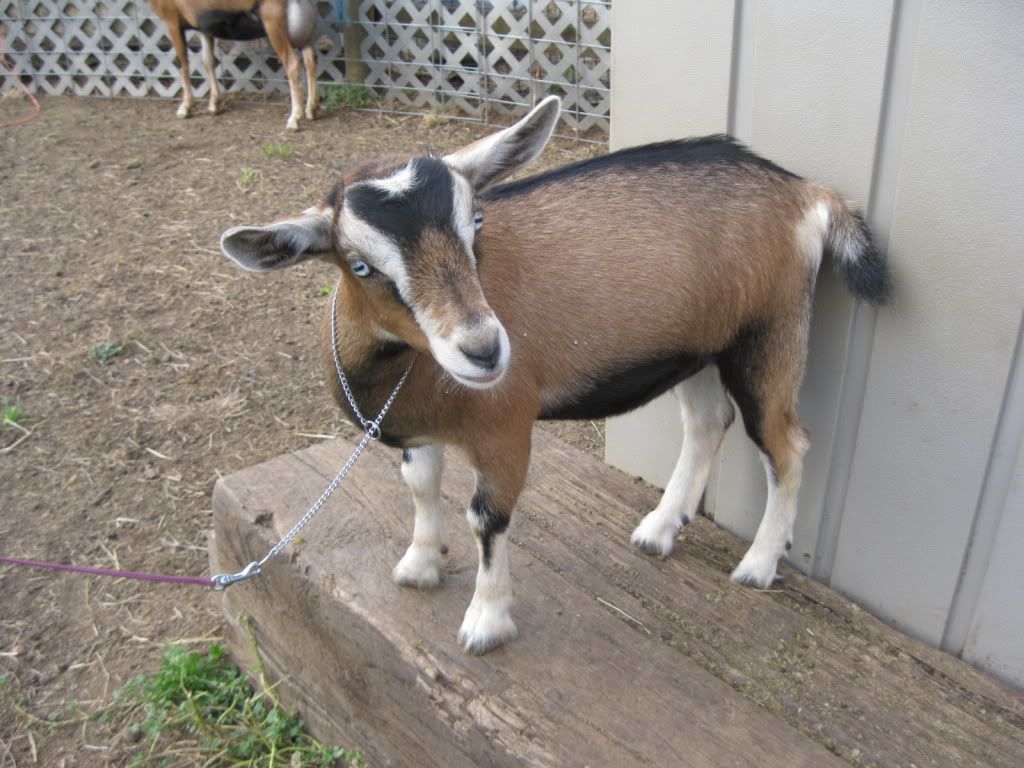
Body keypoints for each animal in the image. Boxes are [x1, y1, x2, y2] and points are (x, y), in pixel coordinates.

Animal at [148, 0, 318, 131]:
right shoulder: (204, 29)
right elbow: (208, 61)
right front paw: (214, 104)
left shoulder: (172, 21)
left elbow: (183, 64)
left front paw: (185, 108)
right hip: (304, 33)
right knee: (310, 60)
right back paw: (311, 110)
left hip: (273, 24)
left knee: (292, 63)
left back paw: (294, 119)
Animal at [219, 96, 890, 654]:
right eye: (360, 265)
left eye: (476, 225)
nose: (484, 350)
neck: (406, 370)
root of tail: (807, 194)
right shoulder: (417, 425)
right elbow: (419, 486)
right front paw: (419, 565)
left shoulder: (506, 428)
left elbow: (486, 517)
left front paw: (486, 622)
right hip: (699, 345)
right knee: (707, 422)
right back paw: (659, 529)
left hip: (769, 333)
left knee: (786, 443)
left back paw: (758, 564)